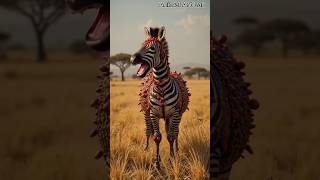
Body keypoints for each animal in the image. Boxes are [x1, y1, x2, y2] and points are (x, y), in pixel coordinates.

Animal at [130, 26, 190, 169]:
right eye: (141, 45)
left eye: (152, 48)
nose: (132, 58)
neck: (161, 87)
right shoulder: (153, 113)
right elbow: (157, 137)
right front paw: (157, 163)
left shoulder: (175, 113)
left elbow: (171, 136)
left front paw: (172, 159)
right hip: (146, 112)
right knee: (148, 130)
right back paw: (146, 148)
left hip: (176, 115)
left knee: (175, 131)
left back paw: (177, 149)